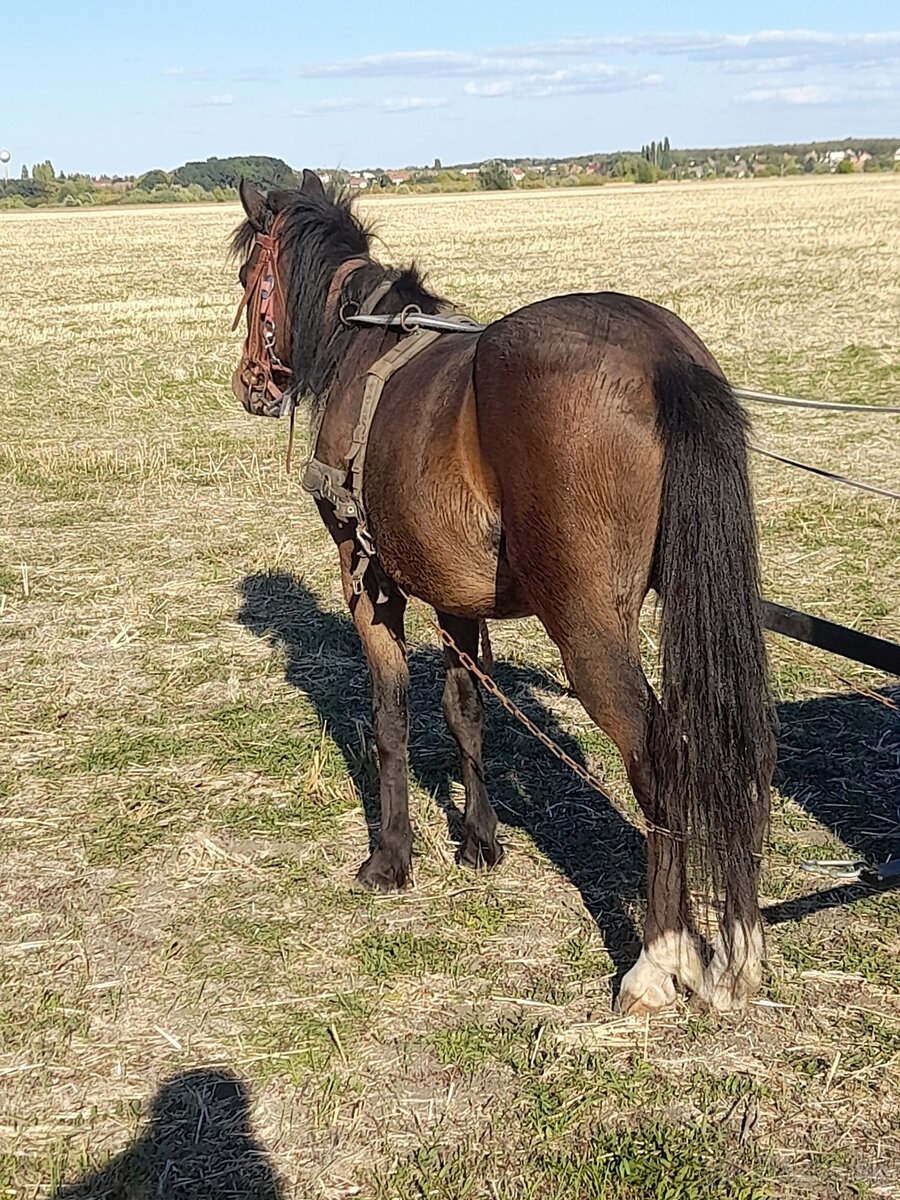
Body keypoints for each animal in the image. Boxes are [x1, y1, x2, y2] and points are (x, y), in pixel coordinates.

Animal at [230, 170, 776, 1015]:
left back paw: (658, 959)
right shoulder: (455, 594)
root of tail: (663, 357)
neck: (367, 347)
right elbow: (466, 712)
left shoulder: (370, 582)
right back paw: (739, 950)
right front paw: (481, 839)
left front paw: (391, 857)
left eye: (247, 279)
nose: (249, 384)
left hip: (587, 627)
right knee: (734, 741)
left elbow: (391, 717)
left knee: (660, 760)